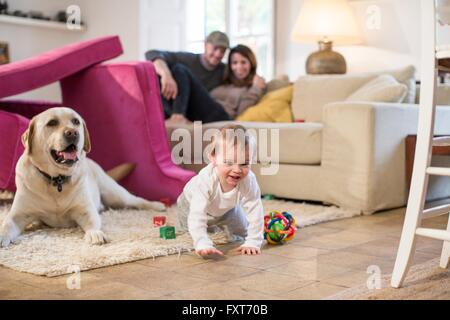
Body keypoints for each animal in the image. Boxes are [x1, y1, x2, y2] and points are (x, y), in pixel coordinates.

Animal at [0, 108, 165, 248]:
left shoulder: (84, 210)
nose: (72, 133)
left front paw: (95, 234)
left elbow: (92, 221)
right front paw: (2, 237)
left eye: (76, 121)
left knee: (137, 200)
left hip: (116, 195)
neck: (57, 180)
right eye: (52, 123)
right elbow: (6, 224)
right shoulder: (18, 215)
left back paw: (158, 205)